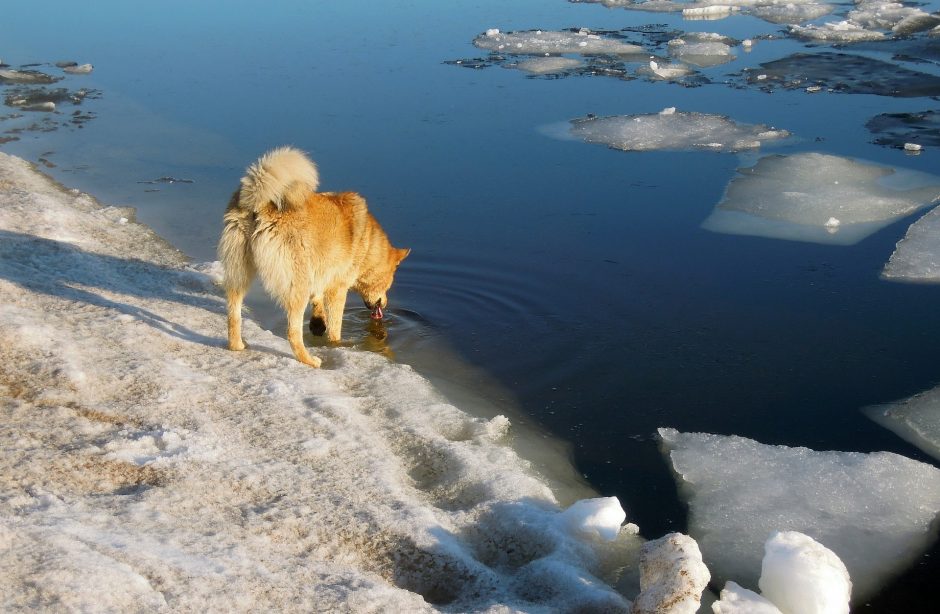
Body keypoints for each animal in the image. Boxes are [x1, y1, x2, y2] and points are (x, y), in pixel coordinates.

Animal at [222, 148, 414, 370]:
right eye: (390, 281)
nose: (384, 306)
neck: (367, 245)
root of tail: (260, 202)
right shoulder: (338, 288)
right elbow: (334, 326)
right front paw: (335, 343)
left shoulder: (321, 271)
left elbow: (318, 299)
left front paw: (317, 323)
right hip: (297, 284)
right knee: (292, 332)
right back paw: (310, 360)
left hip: (239, 272)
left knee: (233, 316)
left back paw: (237, 345)